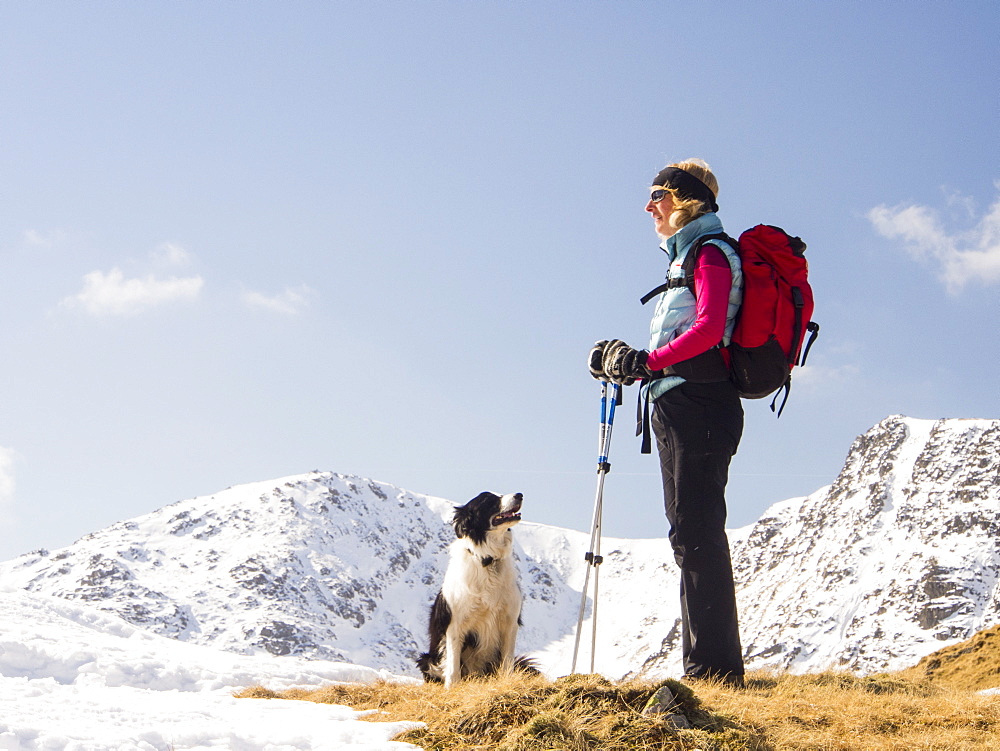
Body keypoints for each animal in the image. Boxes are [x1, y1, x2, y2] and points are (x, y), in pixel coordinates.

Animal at [418, 494, 532, 688]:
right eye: (489, 500)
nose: (519, 495)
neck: (488, 560)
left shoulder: (510, 621)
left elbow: (507, 662)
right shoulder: (455, 624)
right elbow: (453, 666)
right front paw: (452, 688)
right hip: (427, 659)